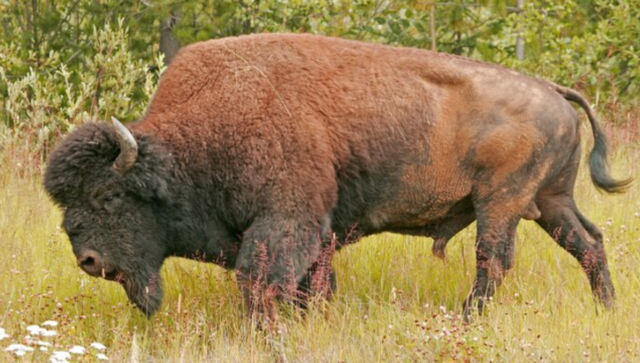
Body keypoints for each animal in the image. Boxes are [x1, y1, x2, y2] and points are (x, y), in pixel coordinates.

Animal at [43, 33, 632, 322]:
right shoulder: (318, 233)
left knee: (494, 261)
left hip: (502, 203)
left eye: (110, 196)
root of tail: (552, 88)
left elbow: (261, 284)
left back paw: (466, 320)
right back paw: (607, 309)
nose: (87, 260)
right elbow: (312, 285)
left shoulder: (287, 223)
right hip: (550, 201)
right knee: (588, 243)